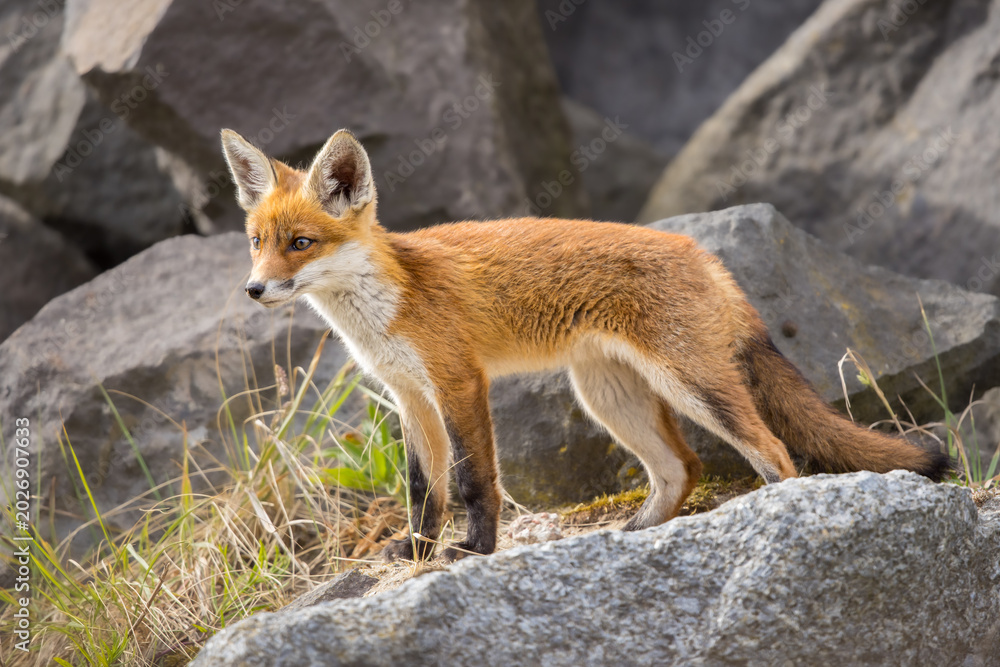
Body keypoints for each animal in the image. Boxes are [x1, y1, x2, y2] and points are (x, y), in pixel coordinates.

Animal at [220, 127, 950, 562]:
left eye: (301, 243)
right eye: (256, 240)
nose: (254, 289)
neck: (389, 303)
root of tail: (702, 253)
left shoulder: (459, 382)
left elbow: (474, 480)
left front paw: (476, 549)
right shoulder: (409, 397)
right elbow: (423, 488)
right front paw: (419, 550)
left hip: (692, 385)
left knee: (772, 452)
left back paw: (769, 516)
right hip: (608, 396)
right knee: (683, 466)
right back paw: (643, 533)